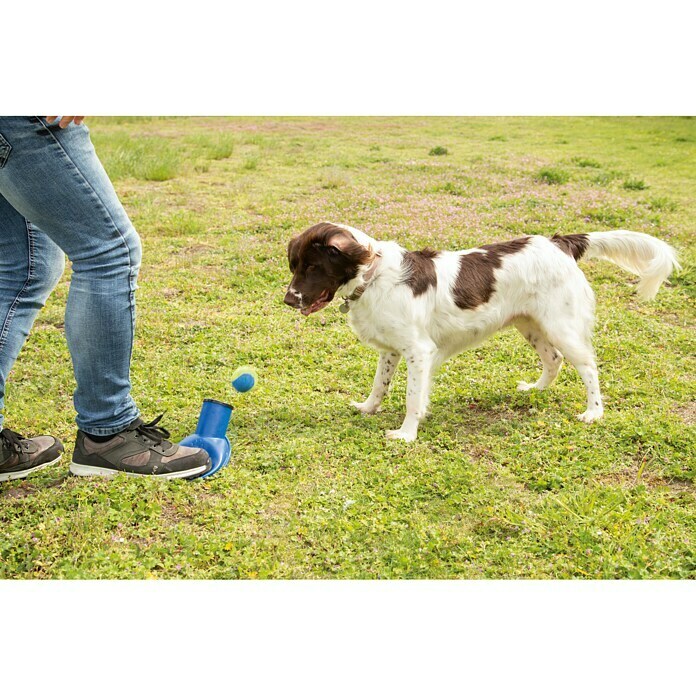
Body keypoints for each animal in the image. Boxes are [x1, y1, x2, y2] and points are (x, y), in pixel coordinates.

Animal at [282, 223, 680, 440]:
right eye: (294, 265)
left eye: (314, 267)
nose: (287, 299)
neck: (375, 276)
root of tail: (559, 242)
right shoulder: (391, 350)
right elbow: (380, 386)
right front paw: (368, 408)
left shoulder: (419, 351)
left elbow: (412, 398)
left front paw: (406, 434)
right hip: (530, 324)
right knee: (553, 360)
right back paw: (536, 390)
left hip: (561, 325)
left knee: (588, 367)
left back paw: (593, 413)